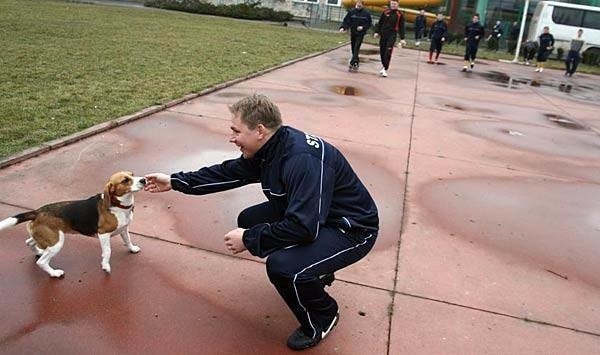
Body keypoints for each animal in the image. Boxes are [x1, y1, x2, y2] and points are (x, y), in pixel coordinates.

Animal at [0, 172, 146, 278]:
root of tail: (38, 212)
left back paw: (39, 252)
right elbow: (107, 251)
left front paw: (132, 249)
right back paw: (54, 273)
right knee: (41, 262)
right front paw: (105, 266)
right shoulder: (103, 234)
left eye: (132, 174)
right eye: (125, 180)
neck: (119, 205)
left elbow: (128, 240)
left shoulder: (124, 229)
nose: (144, 180)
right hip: (56, 242)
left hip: (44, 237)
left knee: (29, 242)